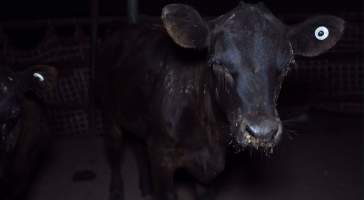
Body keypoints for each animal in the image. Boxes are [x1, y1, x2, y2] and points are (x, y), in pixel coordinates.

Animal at [96, 1, 344, 200]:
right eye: (217, 63)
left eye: (287, 67)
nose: (262, 132)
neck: (209, 135)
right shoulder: (161, 158)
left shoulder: (210, 173)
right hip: (108, 114)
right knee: (115, 154)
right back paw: (116, 191)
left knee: (138, 147)